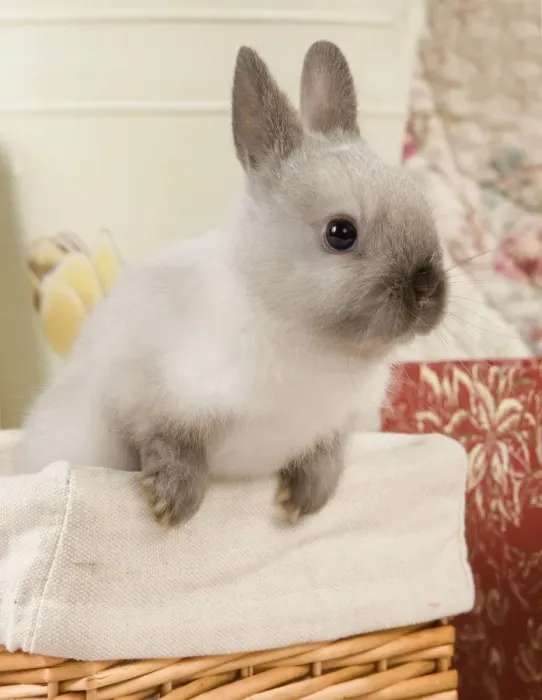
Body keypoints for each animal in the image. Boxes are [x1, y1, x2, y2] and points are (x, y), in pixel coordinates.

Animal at [15, 41, 448, 525]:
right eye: (340, 233)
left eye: (424, 208)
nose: (427, 288)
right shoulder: (145, 397)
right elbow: (171, 443)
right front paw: (170, 504)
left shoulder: (337, 424)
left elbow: (327, 455)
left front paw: (303, 503)